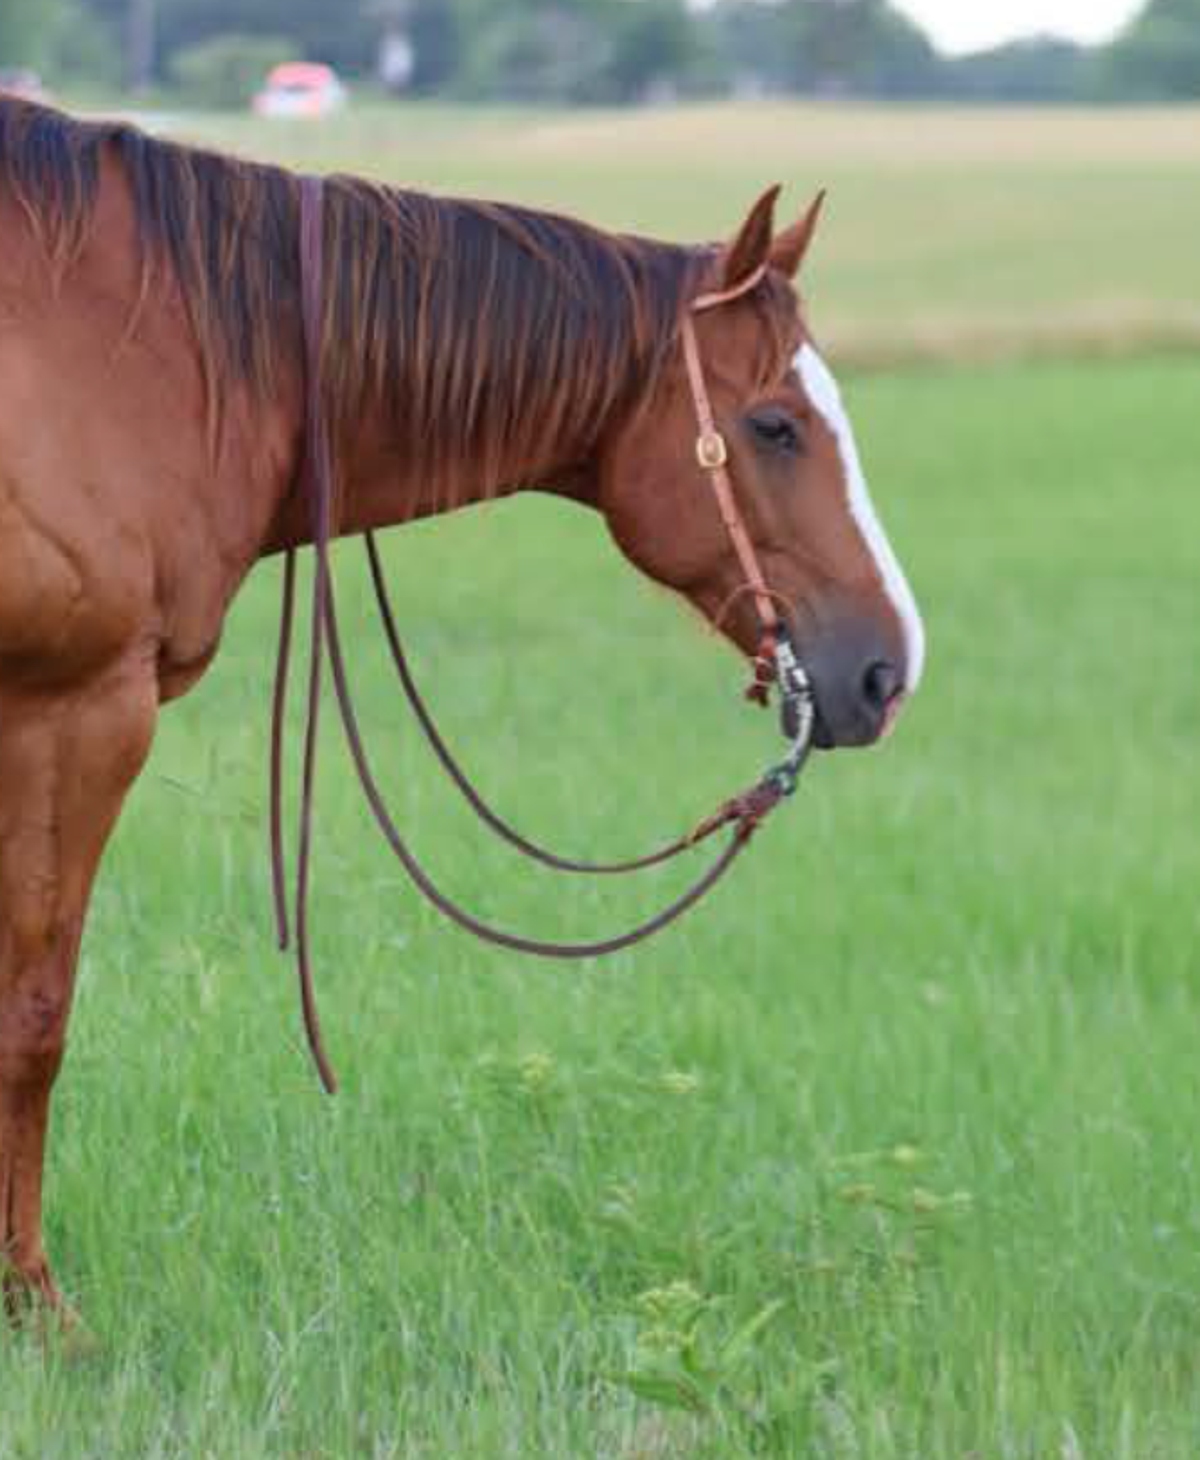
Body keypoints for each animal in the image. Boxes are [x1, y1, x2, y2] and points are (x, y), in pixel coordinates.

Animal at [0, 96, 924, 1320]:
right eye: (774, 425)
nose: (887, 668)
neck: (142, 346)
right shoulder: (76, 712)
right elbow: (35, 1014)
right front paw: (36, 1304)